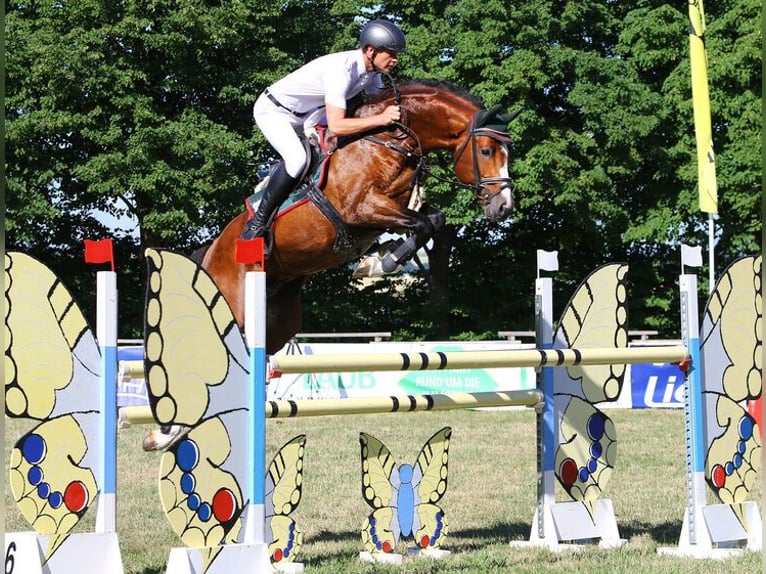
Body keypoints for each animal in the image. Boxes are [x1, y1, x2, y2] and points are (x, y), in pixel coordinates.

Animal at [200, 79, 516, 355]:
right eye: (486, 151)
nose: (504, 206)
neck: (386, 141)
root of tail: (210, 252)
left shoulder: (398, 204)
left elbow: (433, 220)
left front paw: (379, 259)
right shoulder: (360, 207)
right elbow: (422, 223)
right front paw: (382, 262)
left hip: (278, 323)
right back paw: (254, 232)